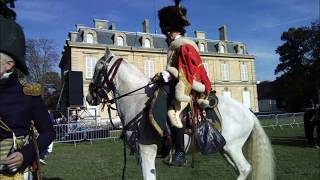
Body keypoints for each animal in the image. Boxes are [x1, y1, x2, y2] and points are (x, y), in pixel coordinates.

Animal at [87, 48, 276, 179]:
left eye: (96, 69)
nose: (89, 97)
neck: (138, 101)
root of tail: (249, 113)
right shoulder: (141, 156)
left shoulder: (147, 152)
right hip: (225, 149)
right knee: (241, 169)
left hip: (232, 147)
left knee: (244, 168)